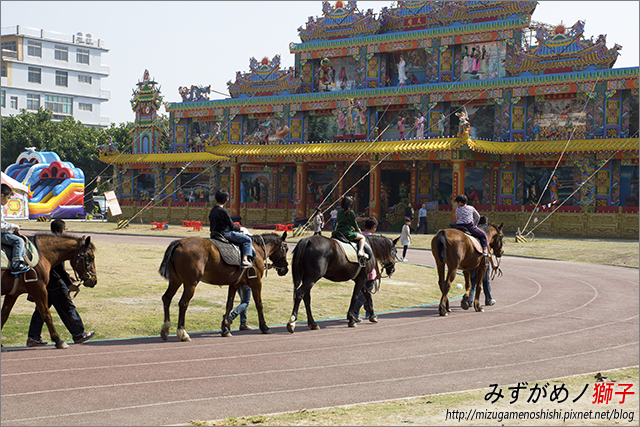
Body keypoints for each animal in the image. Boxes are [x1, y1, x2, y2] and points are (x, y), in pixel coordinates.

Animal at [159, 231, 288, 342]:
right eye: (285, 249)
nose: (285, 268)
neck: (257, 249)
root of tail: (179, 242)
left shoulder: (234, 284)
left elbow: (229, 305)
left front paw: (225, 328)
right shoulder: (256, 283)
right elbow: (259, 304)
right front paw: (264, 327)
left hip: (176, 281)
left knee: (167, 298)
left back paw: (165, 329)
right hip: (191, 284)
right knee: (183, 303)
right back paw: (182, 332)